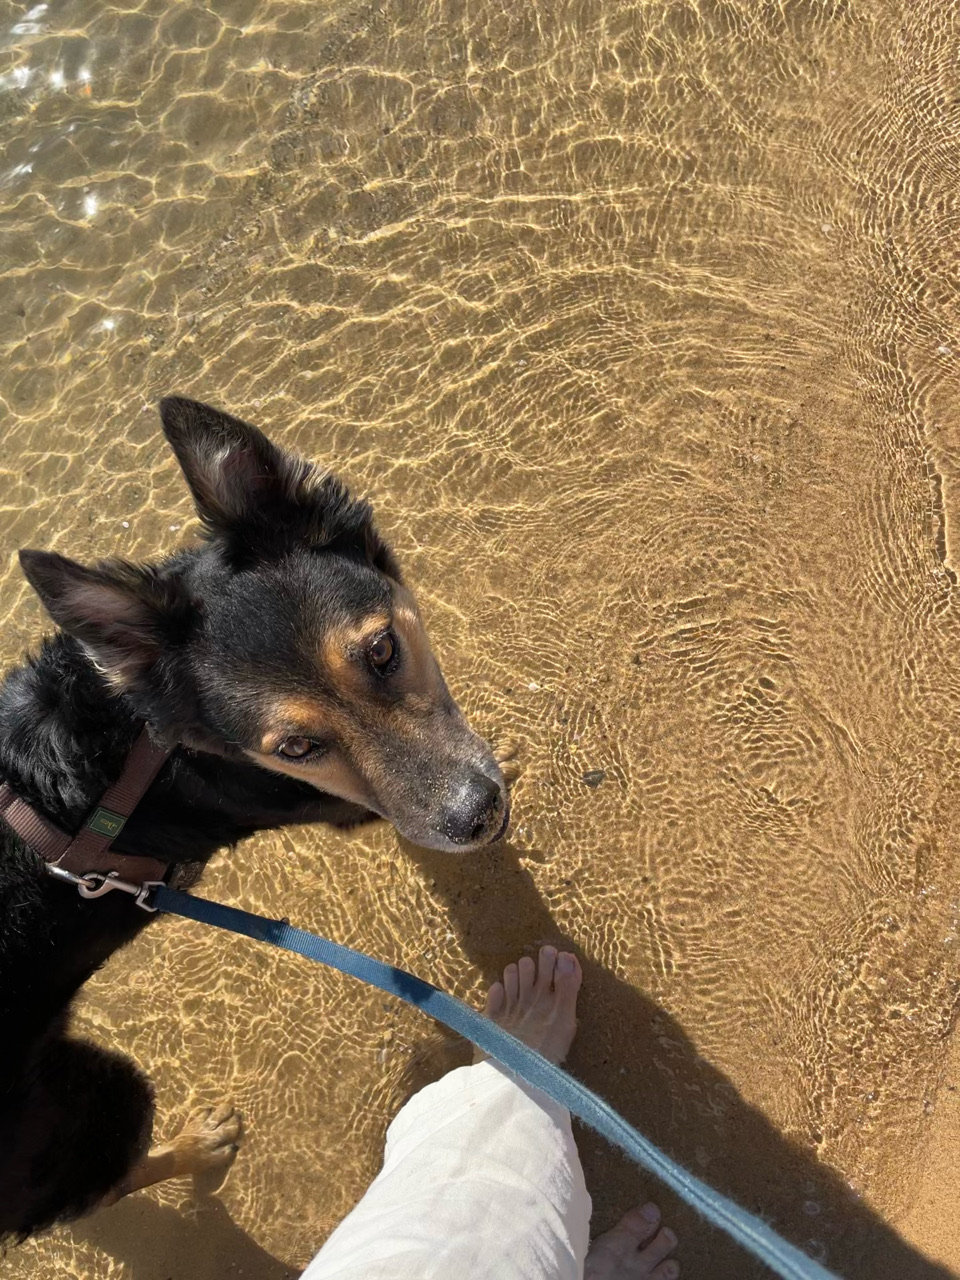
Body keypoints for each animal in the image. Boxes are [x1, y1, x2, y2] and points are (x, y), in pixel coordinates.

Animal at [0, 396, 510, 1241]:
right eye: (297, 747)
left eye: (382, 651)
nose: (476, 817)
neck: (141, 737)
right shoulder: (342, 804)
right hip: (86, 1106)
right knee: (100, 1185)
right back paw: (196, 1146)